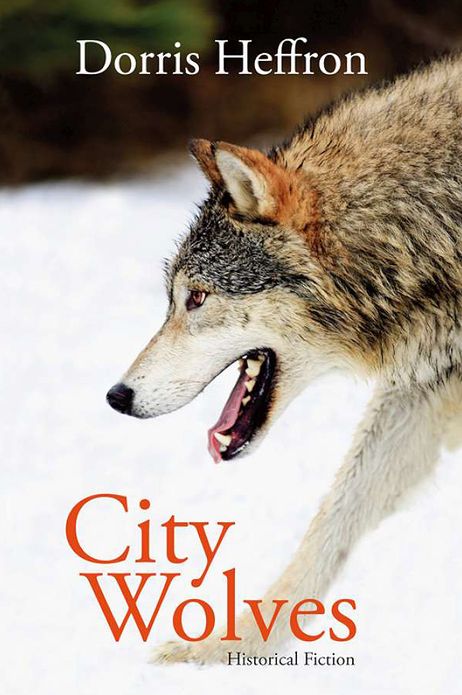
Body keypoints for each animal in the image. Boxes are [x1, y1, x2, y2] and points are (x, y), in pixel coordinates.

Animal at [107, 55, 462, 664]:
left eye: (195, 297)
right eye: (172, 298)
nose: (116, 396)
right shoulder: (423, 388)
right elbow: (331, 524)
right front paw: (225, 649)